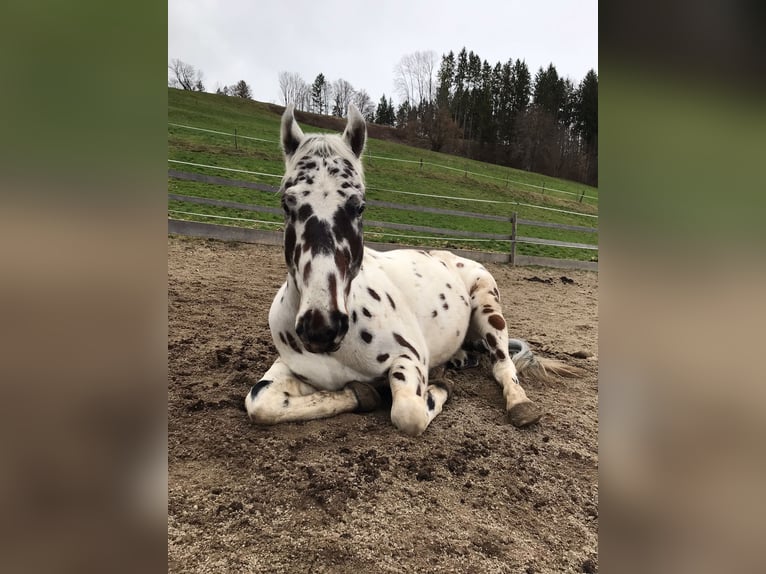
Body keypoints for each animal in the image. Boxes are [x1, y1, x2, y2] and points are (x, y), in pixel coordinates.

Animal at [248, 104, 584, 436]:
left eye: (359, 206)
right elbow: (260, 402)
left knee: (503, 365)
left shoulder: (408, 359)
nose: (321, 327)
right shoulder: (291, 369)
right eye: (287, 203)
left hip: (490, 310)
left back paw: (519, 404)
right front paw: (362, 393)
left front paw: (438, 386)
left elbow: (408, 413)